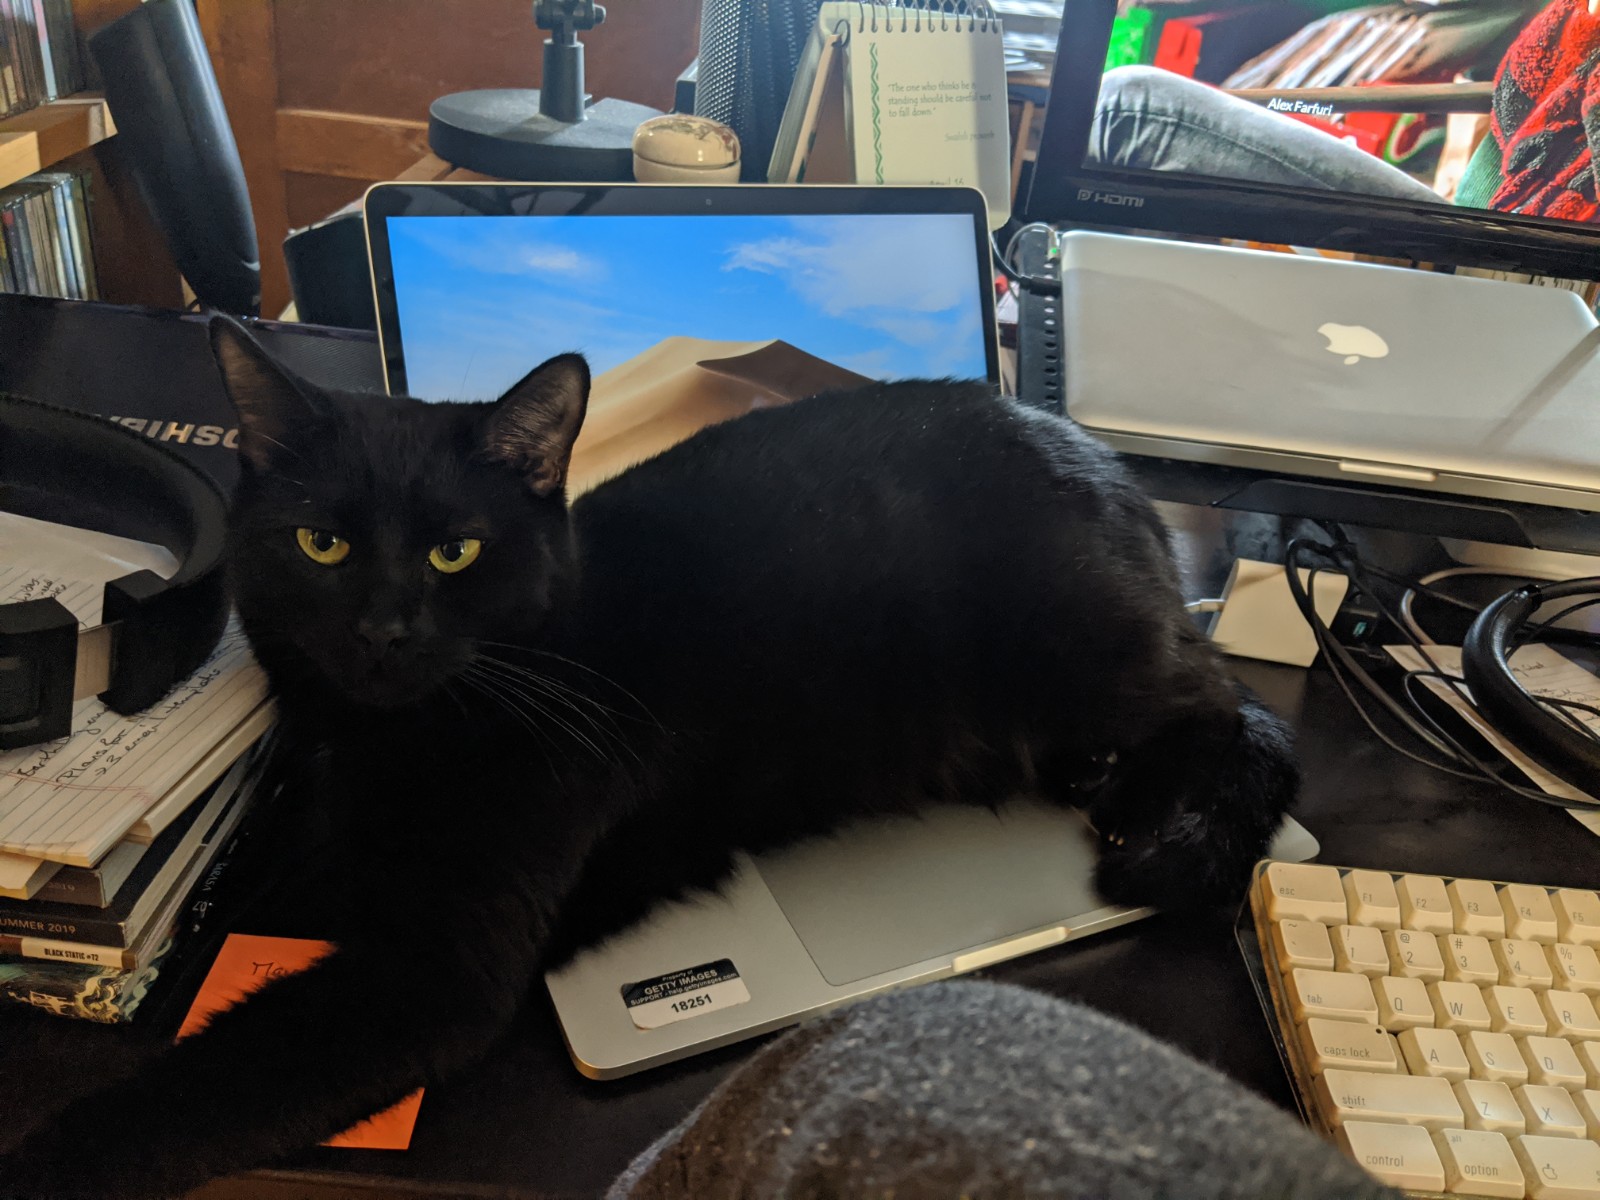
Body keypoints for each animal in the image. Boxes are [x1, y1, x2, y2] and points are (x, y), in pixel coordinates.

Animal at [0, 315, 1292, 1196]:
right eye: (323, 545)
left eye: (457, 554)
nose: (385, 629)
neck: (391, 735)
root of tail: (1112, 472)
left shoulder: (429, 973)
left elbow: (200, 1082)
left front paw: (48, 1156)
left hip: (1080, 647)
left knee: (1247, 726)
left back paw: (1164, 832)